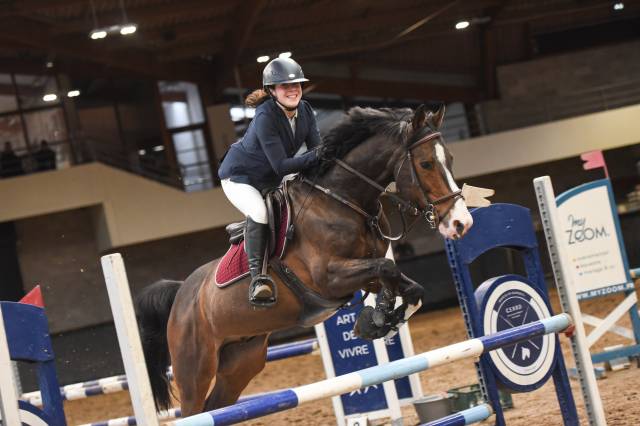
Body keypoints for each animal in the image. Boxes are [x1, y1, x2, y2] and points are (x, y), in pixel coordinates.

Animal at [136, 104, 473, 417]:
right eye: (426, 163)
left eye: (450, 159)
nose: (461, 223)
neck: (342, 201)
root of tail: (181, 293)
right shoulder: (329, 278)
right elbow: (387, 268)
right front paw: (378, 320)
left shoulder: (364, 274)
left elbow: (407, 286)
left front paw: (380, 319)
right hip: (194, 368)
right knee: (194, 408)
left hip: (242, 360)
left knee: (216, 407)